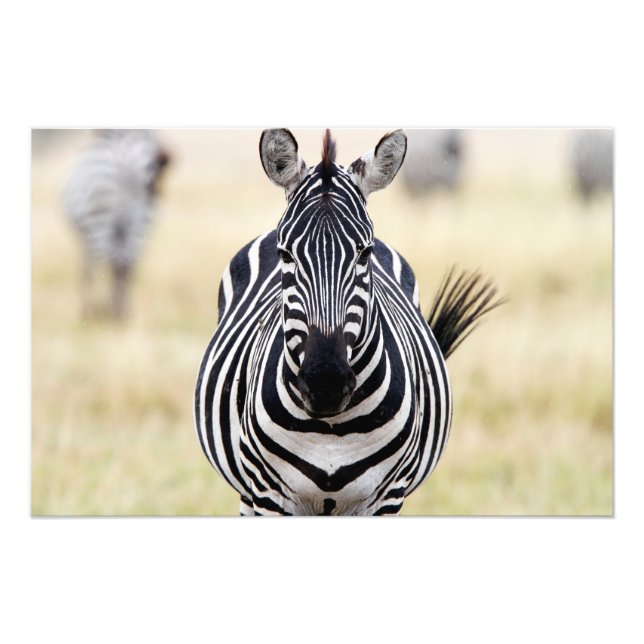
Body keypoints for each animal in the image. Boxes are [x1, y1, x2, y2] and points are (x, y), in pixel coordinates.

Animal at [64, 128, 171, 319]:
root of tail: (127, 163)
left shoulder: (84, 237)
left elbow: (87, 271)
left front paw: (87, 308)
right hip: (141, 224)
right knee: (126, 265)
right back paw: (120, 312)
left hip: (99, 220)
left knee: (109, 265)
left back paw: (99, 310)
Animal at [194, 129, 501, 516]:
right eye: (284, 254)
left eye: (364, 253)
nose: (325, 384)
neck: (331, 430)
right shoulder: (268, 494)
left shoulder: (387, 497)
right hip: (249, 492)